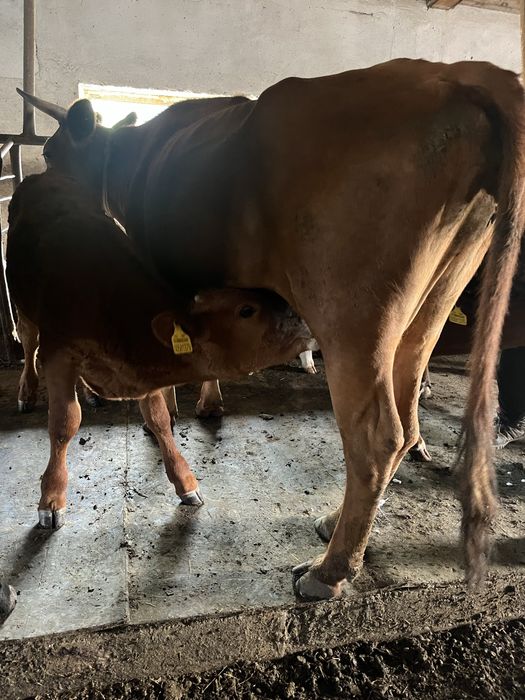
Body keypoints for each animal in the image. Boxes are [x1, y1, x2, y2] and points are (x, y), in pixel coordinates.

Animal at [6, 170, 315, 528]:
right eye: (246, 310)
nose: (300, 314)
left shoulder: (143, 369)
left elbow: (159, 418)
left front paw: (185, 483)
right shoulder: (58, 352)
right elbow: (63, 423)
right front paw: (52, 498)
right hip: (23, 305)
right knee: (28, 341)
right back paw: (26, 393)